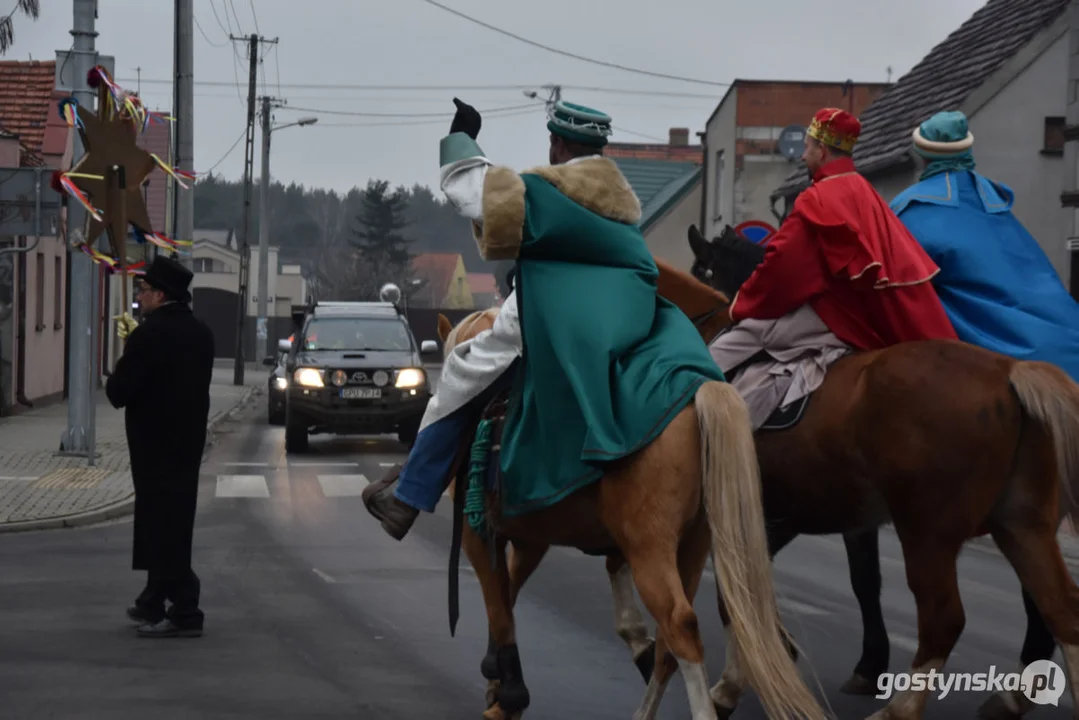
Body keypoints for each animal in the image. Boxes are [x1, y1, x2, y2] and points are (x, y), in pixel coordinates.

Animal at [433, 304, 820, 720]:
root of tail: (698, 394)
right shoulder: (529, 543)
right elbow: (506, 598)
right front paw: (499, 687)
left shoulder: (478, 536)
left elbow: (499, 605)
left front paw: (504, 695)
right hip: (694, 545)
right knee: (671, 644)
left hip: (649, 548)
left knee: (679, 624)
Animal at [681, 222, 1079, 716]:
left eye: (700, 268)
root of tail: (1011, 372)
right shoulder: (799, 520)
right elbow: (775, 588)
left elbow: (737, 591)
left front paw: (738, 681)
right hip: (1022, 524)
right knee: (1060, 608)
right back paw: (1014, 695)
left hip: (928, 534)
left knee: (945, 618)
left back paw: (901, 708)